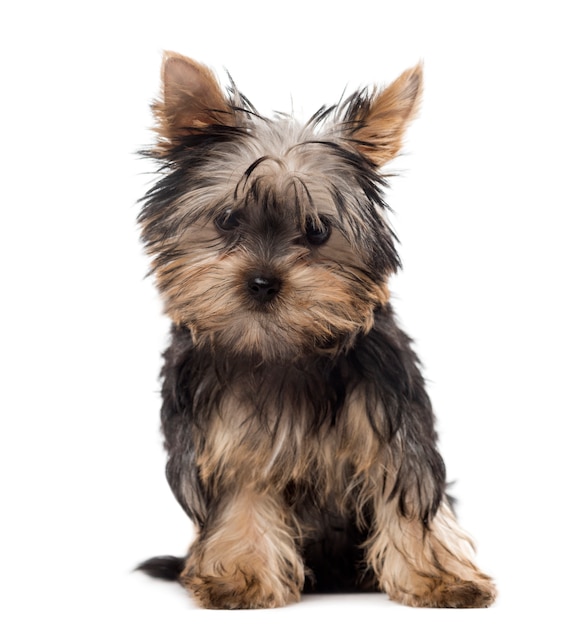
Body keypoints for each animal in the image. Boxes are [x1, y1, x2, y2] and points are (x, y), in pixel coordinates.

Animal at [137, 51, 498, 608]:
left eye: (317, 230)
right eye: (226, 219)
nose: (263, 282)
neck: (284, 347)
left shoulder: (389, 417)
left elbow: (406, 489)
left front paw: (438, 578)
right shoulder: (226, 433)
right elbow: (242, 493)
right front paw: (242, 576)